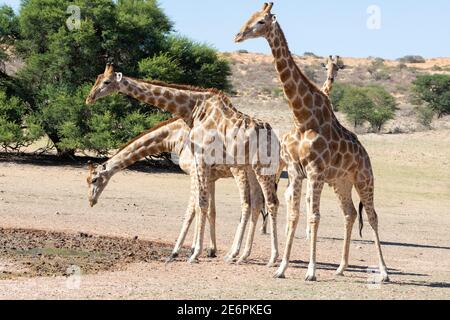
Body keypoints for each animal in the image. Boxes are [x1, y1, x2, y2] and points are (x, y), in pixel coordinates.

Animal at [85, 117, 266, 262]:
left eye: (93, 179)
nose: (91, 201)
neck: (175, 137)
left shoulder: (194, 171)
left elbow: (193, 211)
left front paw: (180, 251)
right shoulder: (210, 177)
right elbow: (209, 211)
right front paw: (208, 250)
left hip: (239, 170)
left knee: (247, 204)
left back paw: (235, 253)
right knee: (259, 203)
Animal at [236, 3, 390, 282]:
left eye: (261, 21)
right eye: (249, 16)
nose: (238, 35)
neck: (302, 117)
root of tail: (365, 154)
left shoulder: (315, 171)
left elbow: (314, 217)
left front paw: (311, 271)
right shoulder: (297, 171)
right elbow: (295, 215)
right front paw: (282, 268)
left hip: (364, 178)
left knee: (372, 216)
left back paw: (383, 273)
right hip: (341, 182)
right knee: (350, 213)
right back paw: (341, 267)